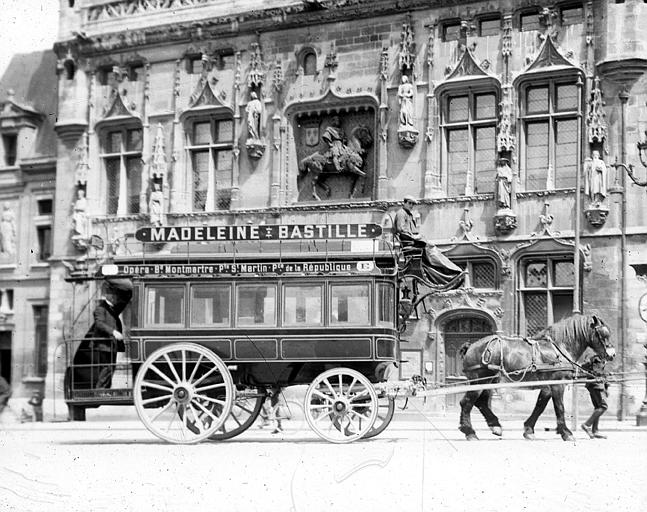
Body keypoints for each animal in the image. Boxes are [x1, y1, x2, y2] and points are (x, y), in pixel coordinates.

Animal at [458, 314, 616, 442]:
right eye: (603, 333)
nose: (612, 354)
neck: (559, 348)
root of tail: (471, 346)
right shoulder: (557, 384)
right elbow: (560, 407)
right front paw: (566, 433)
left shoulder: (547, 386)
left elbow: (540, 406)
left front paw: (529, 430)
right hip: (479, 380)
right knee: (467, 403)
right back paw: (470, 432)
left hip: (488, 381)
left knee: (481, 403)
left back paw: (494, 425)